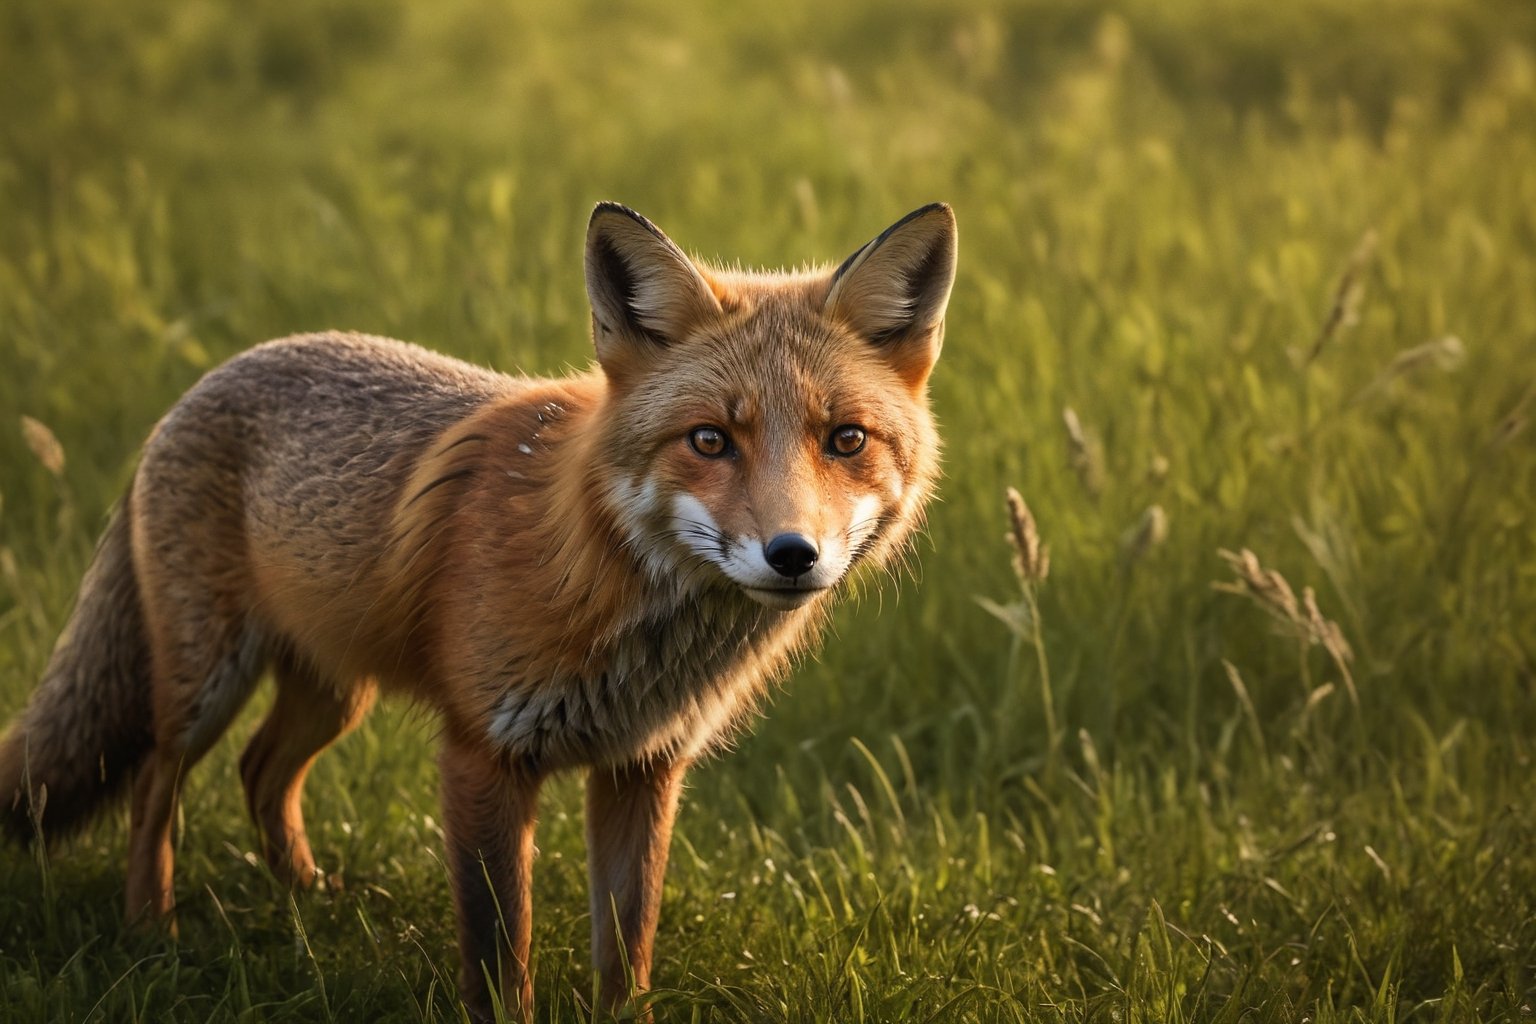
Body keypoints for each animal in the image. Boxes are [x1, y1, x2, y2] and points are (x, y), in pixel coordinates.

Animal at [0, 199, 952, 1019]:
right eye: (710, 440)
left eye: (846, 440)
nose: (793, 554)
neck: (603, 578)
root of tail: (210, 377)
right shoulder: (483, 755)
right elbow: (501, 958)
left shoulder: (641, 768)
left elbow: (627, 954)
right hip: (206, 681)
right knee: (155, 783)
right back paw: (151, 929)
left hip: (335, 691)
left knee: (260, 770)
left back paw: (308, 896)